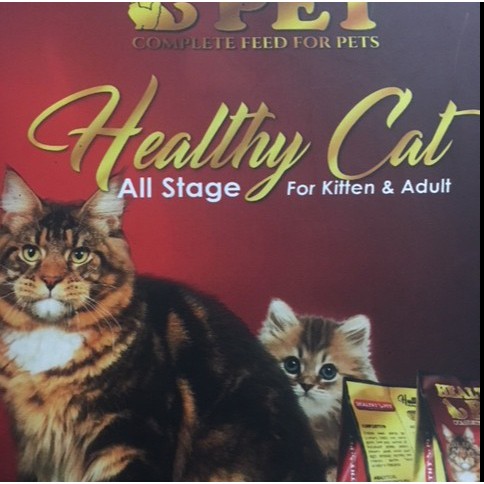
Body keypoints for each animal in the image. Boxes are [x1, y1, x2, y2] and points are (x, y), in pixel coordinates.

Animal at [0, 170, 327, 482]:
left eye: (79, 255)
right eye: (31, 252)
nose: (50, 280)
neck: (50, 337)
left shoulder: (132, 438)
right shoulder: (35, 448)